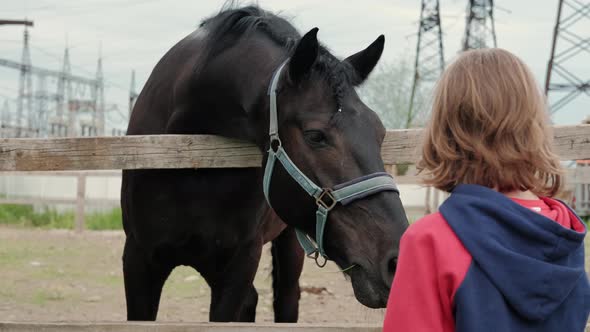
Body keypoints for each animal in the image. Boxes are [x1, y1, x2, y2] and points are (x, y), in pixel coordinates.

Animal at [122, 4, 410, 322]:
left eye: (379, 132)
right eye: (315, 135)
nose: (398, 261)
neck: (191, 161)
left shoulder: (240, 262)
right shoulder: (138, 259)